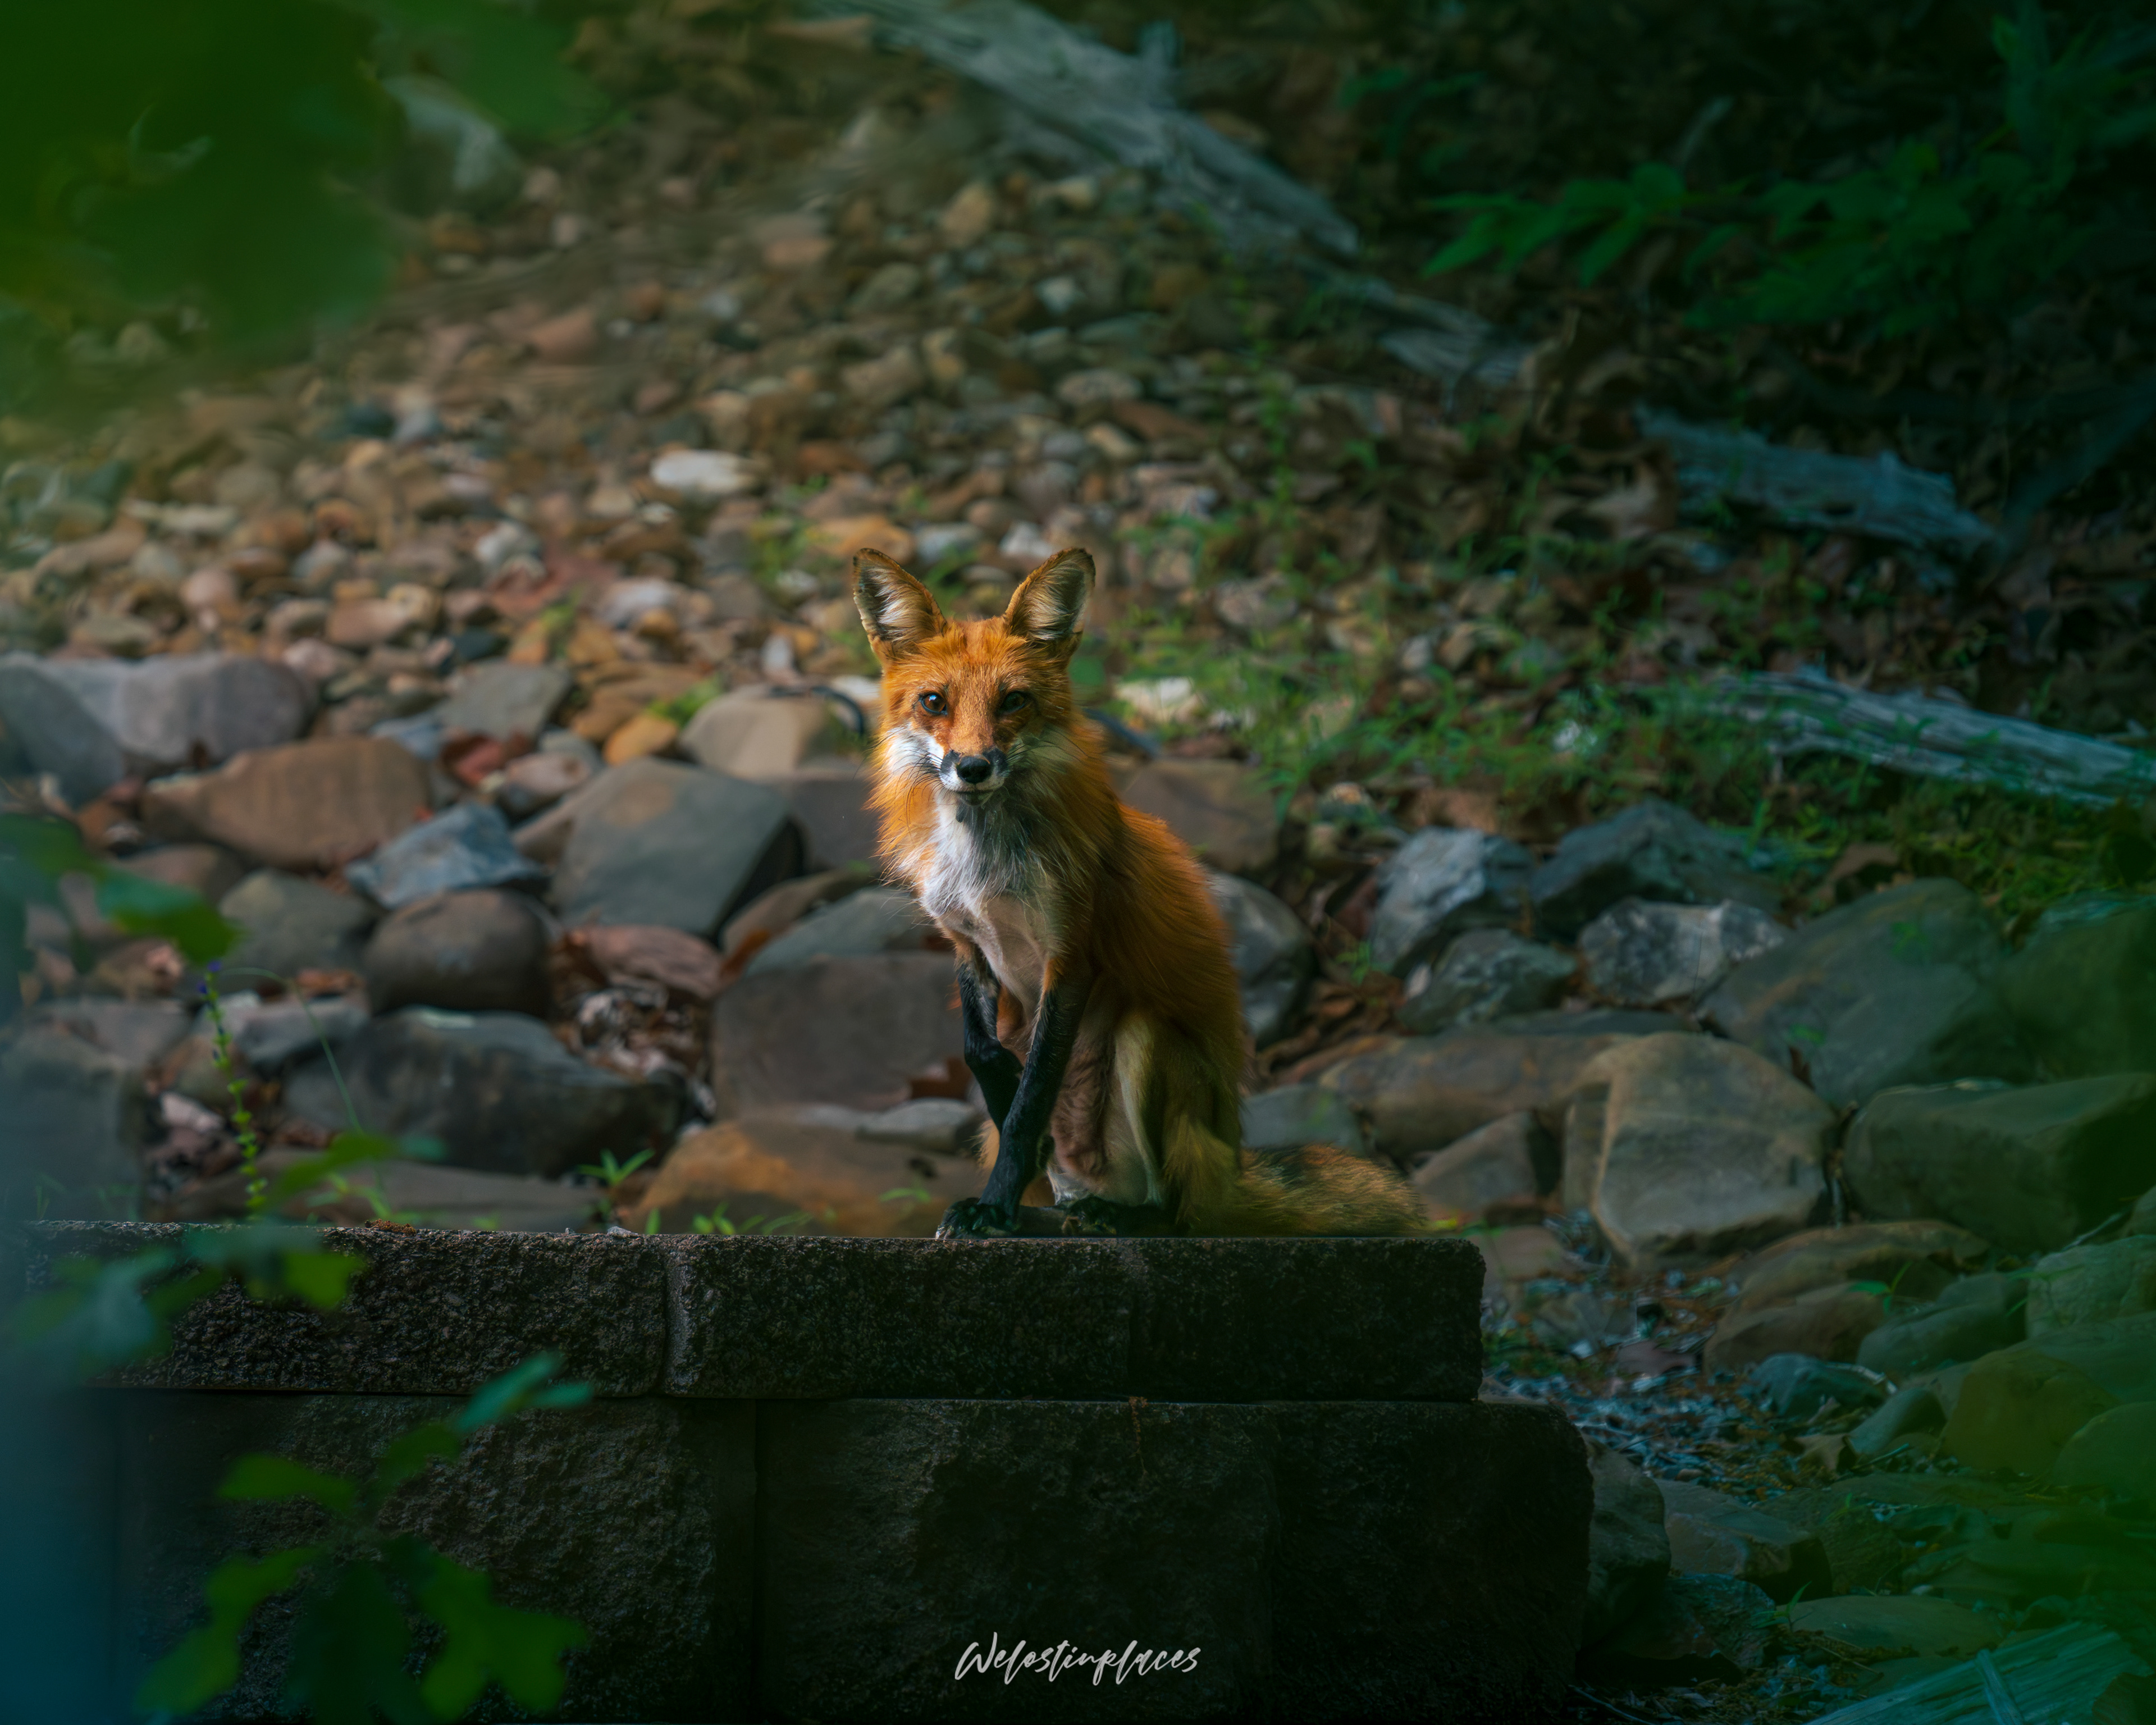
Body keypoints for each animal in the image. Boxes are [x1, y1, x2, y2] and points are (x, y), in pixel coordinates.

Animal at [852, 543, 1429, 1239]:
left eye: (1013, 701)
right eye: (934, 702)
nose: (973, 767)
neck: (985, 870)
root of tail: (1227, 1170)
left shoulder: (1070, 954)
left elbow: (1030, 1102)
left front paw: (995, 1204)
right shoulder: (967, 945)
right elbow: (982, 1055)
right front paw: (1004, 1119)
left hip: (1146, 1043)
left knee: (1172, 1214)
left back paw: (1113, 1215)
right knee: (1068, 1197)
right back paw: (1055, 1209)